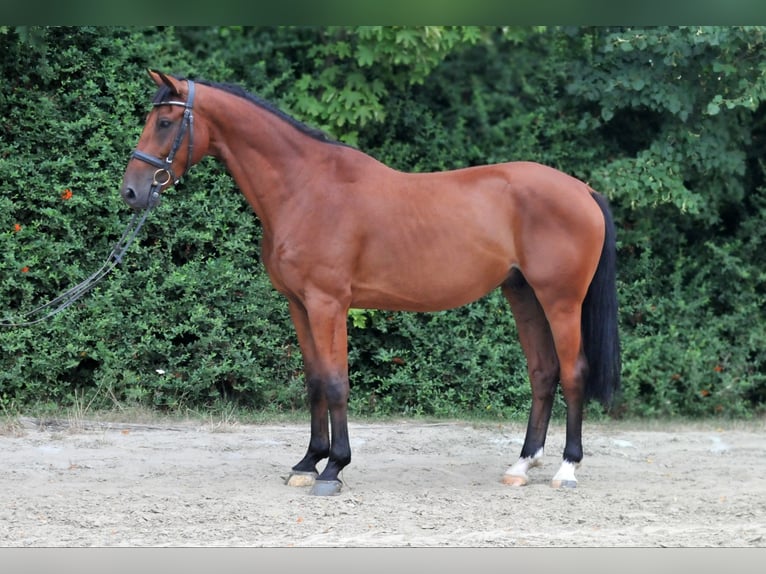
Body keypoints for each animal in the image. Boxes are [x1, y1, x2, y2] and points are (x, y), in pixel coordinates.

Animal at [121, 70, 624, 498]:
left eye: (164, 122)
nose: (131, 191)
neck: (306, 189)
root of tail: (582, 190)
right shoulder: (299, 305)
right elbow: (314, 382)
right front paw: (307, 463)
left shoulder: (328, 304)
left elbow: (336, 383)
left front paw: (333, 469)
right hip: (523, 295)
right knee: (543, 373)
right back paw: (521, 465)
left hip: (560, 300)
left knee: (573, 373)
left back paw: (566, 468)